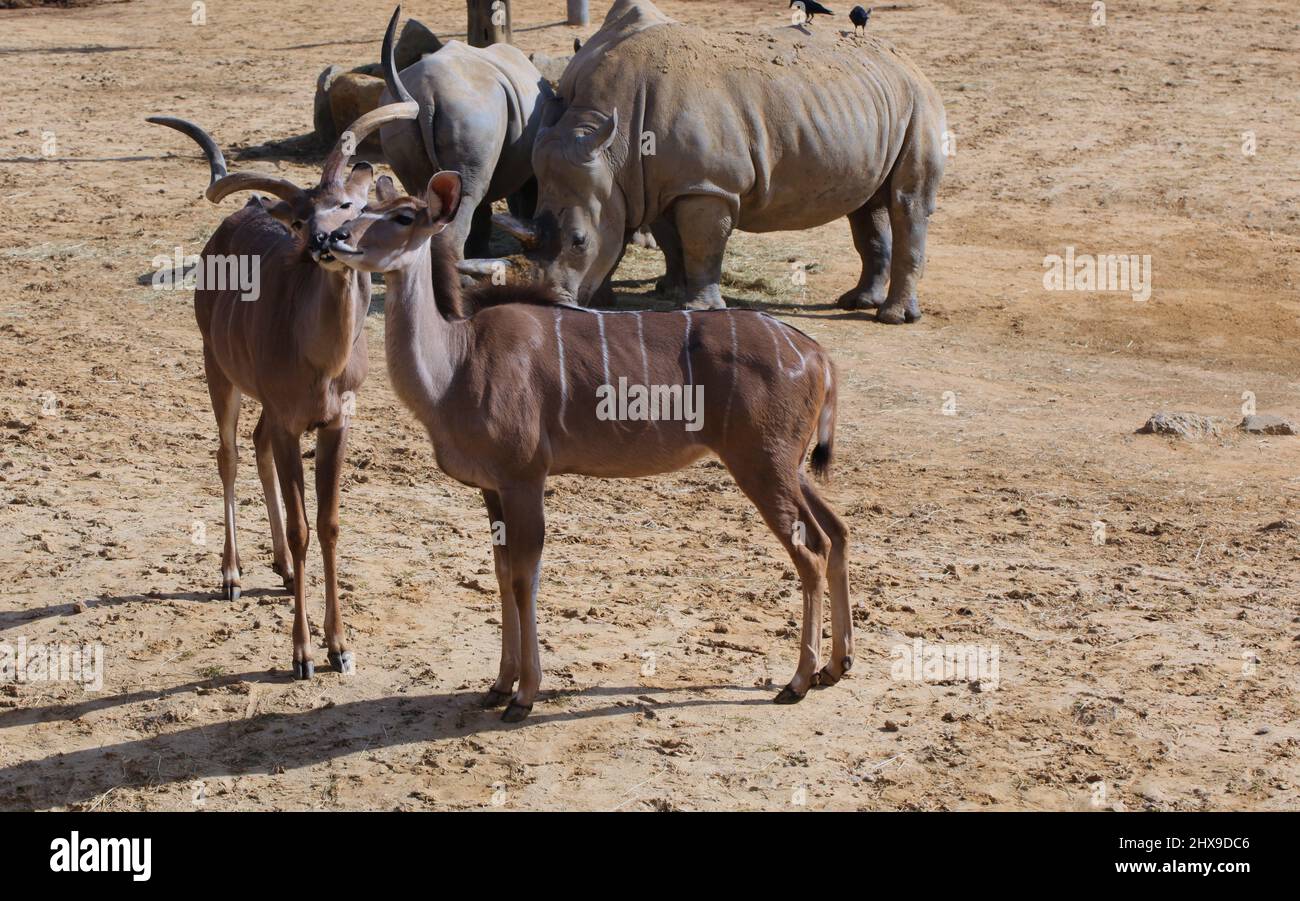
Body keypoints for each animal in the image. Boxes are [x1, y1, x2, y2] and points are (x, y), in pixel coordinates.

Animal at [149, 100, 418, 676]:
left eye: (347, 205)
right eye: (300, 218)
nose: (324, 241)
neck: (320, 361)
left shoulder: (336, 422)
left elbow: (329, 523)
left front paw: (341, 648)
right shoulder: (293, 423)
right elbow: (301, 528)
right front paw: (303, 655)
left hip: (262, 401)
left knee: (255, 443)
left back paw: (282, 569)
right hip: (217, 368)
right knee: (227, 452)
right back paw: (231, 575)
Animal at [325, 170, 852, 722]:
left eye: (403, 216)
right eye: (359, 210)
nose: (331, 238)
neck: (456, 363)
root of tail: (817, 354)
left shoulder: (524, 477)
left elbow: (524, 577)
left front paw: (524, 696)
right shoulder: (492, 488)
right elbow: (500, 572)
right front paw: (498, 686)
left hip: (762, 464)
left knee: (811, 550)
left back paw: (797, 680)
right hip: (789, 466)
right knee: (837, 532)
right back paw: (835, 667)